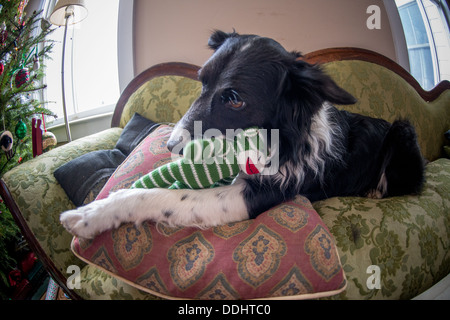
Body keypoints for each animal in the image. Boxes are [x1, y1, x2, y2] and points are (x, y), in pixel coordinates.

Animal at [60, 31, 426, 239]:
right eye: (201, 81)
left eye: (235, 98)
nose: (170, 146)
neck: (281, 137)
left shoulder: (260, 194)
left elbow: (167, 198)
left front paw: (93, 215)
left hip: (403, 131)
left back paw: (375, 191)